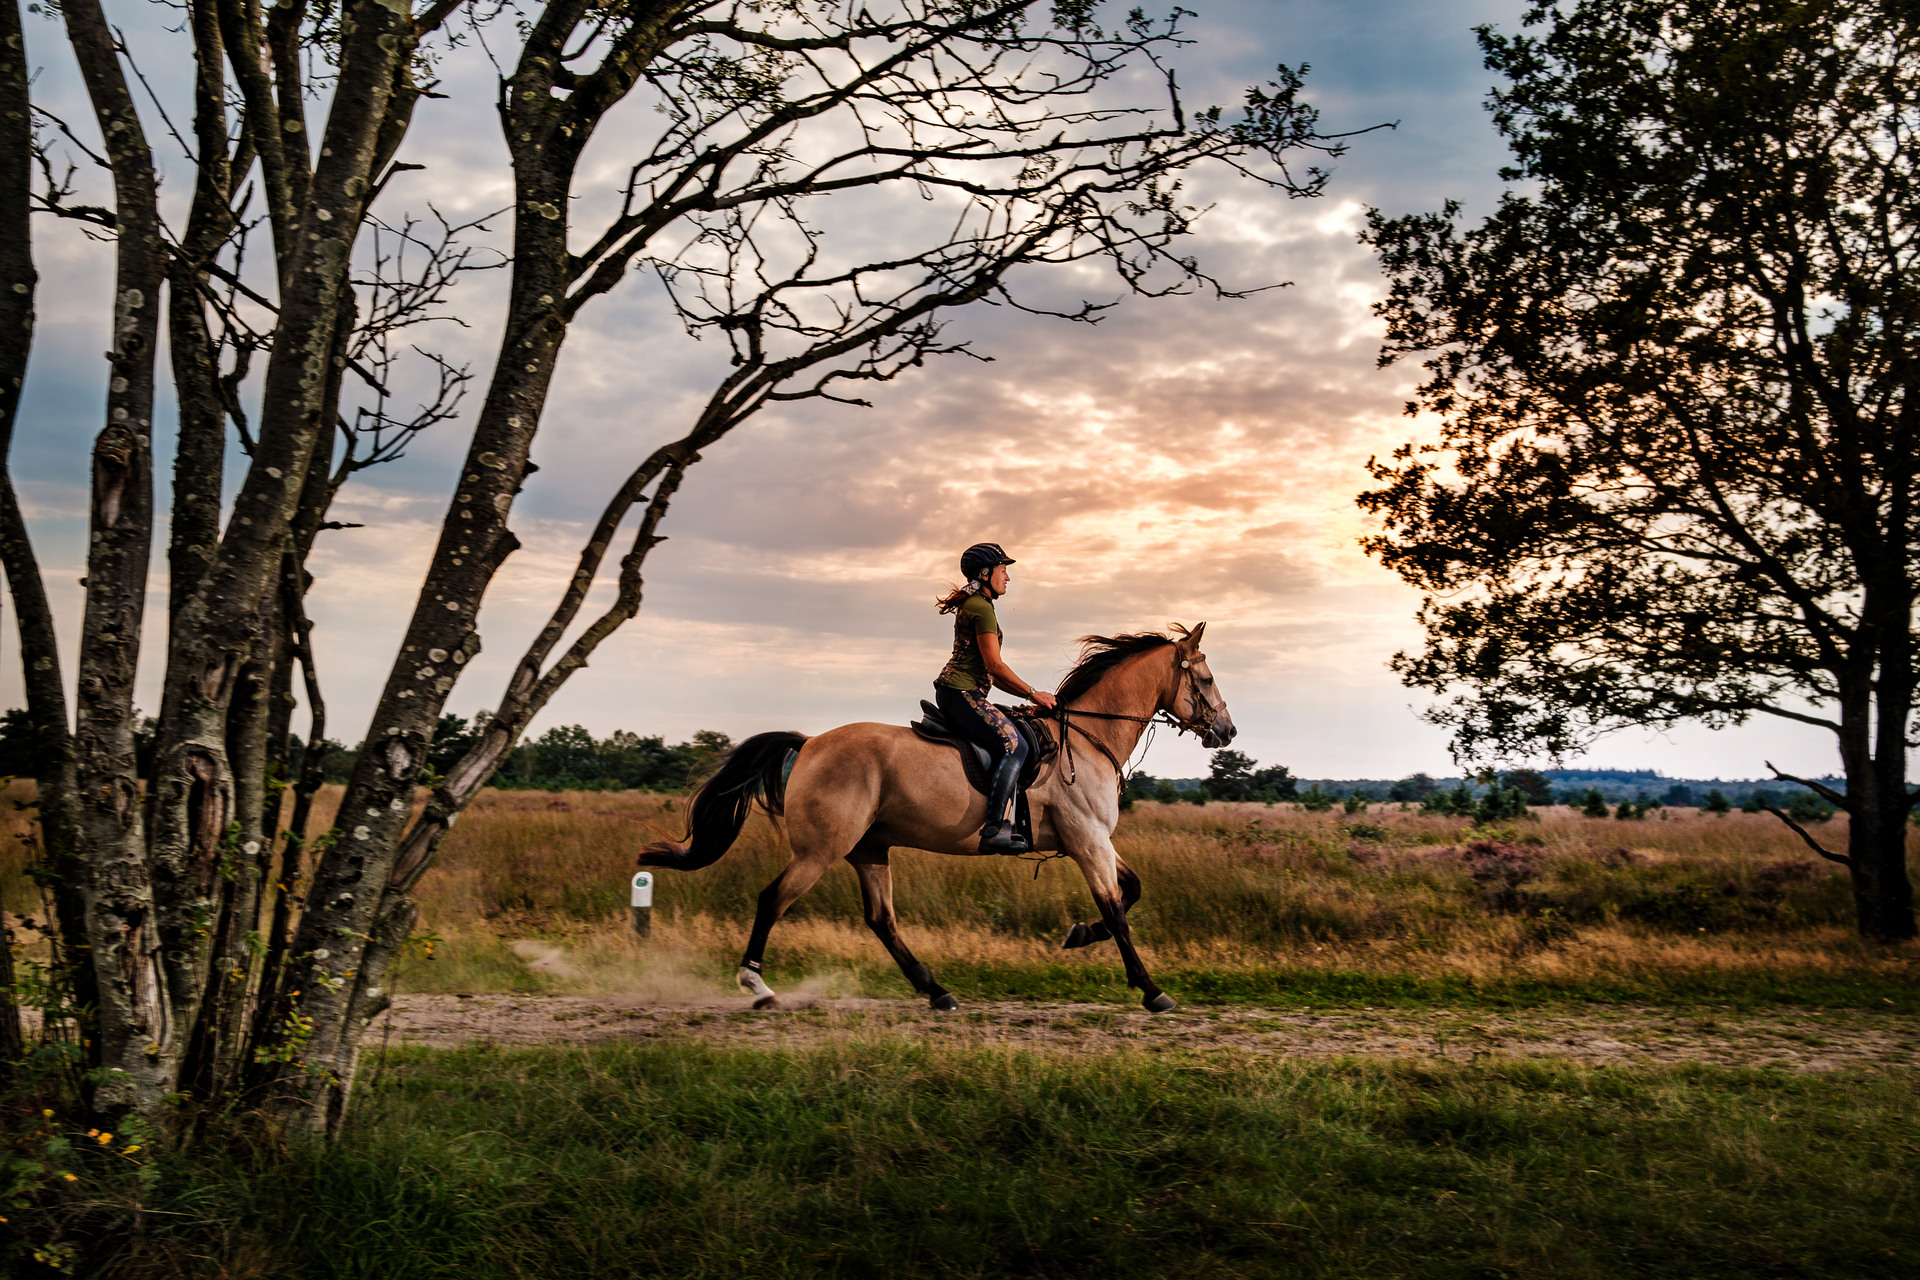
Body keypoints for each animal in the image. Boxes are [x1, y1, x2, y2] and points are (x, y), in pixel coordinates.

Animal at [641, 625, 1244, 1013]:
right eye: (1207, 679)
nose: (1228, 732)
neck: (1088, 738)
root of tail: (809, 743)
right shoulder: (1088, 841)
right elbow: (1117, 913)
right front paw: (1152, 991)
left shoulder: (1095, 841)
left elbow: (1132, 891)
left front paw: (1077, 935)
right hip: (821, 850)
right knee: (774, 900)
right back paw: (758, 988)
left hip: (869, 849)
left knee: (881, 920)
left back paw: (937, 992)